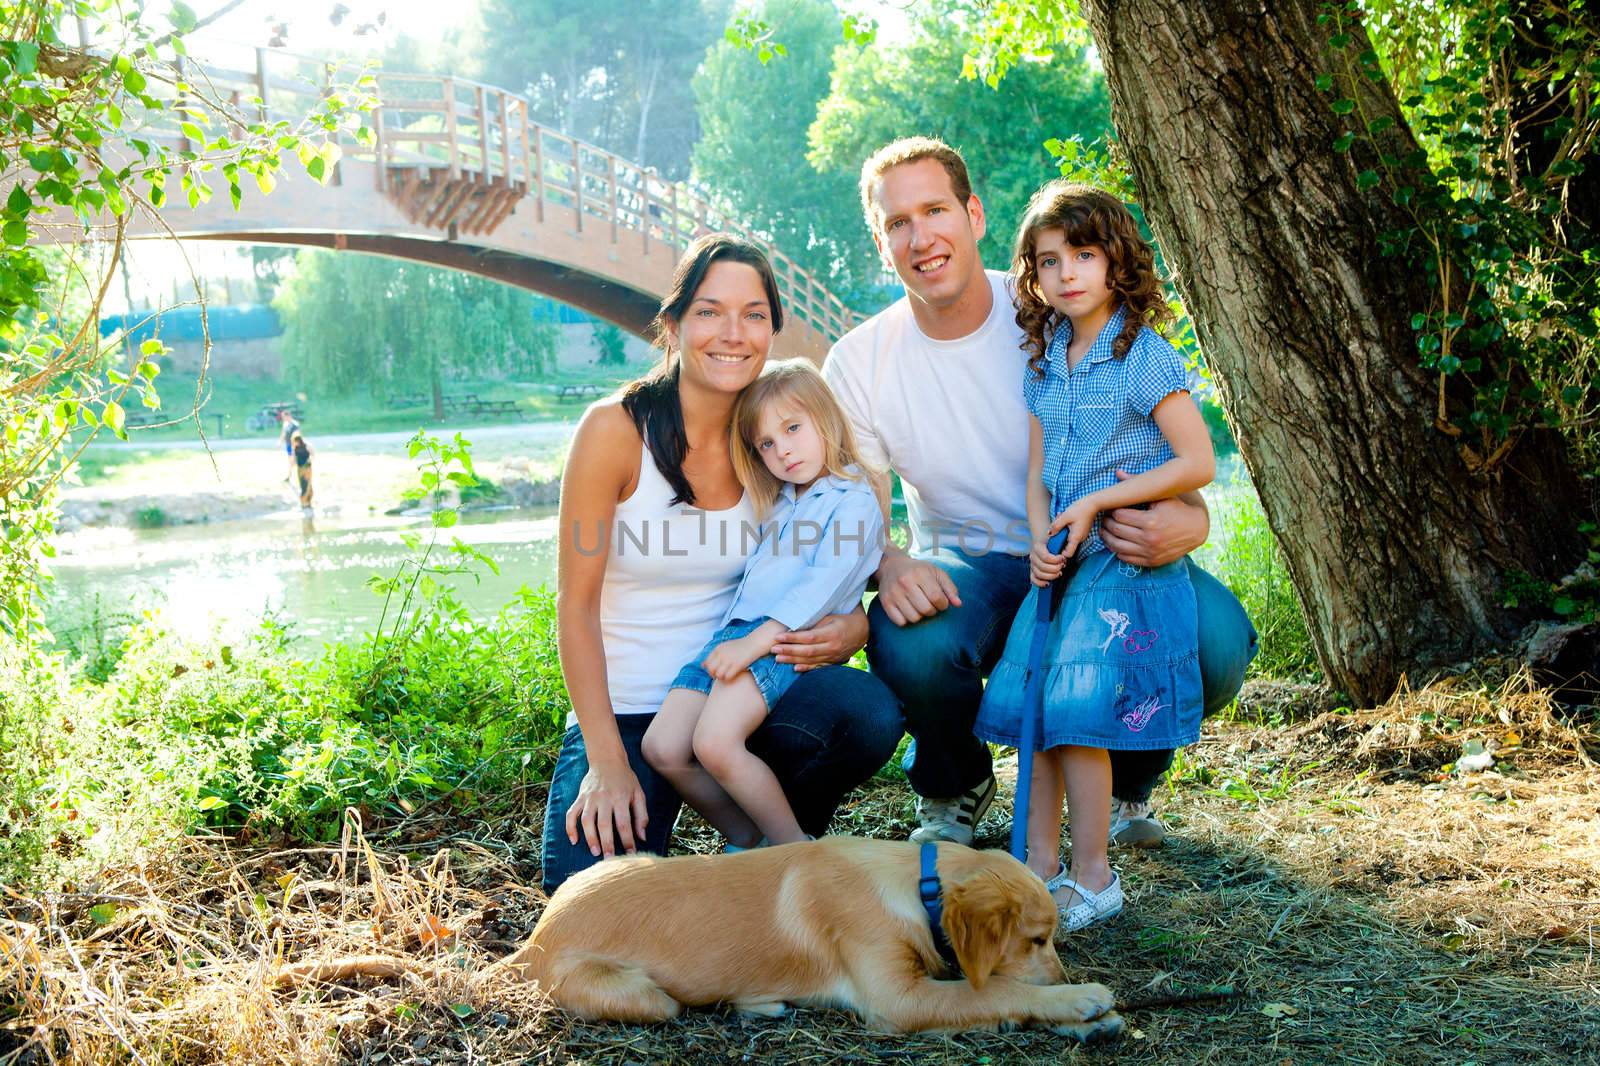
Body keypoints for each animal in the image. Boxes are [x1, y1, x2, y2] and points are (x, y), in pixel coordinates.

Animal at [502, 832, 1126, 1030]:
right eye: (1036, 940)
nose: (1063, 975)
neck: (913, 886)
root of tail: (533, 939)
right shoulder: (897, 1000)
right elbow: (995, 989)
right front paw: (1080, 999)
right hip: (648, 997)